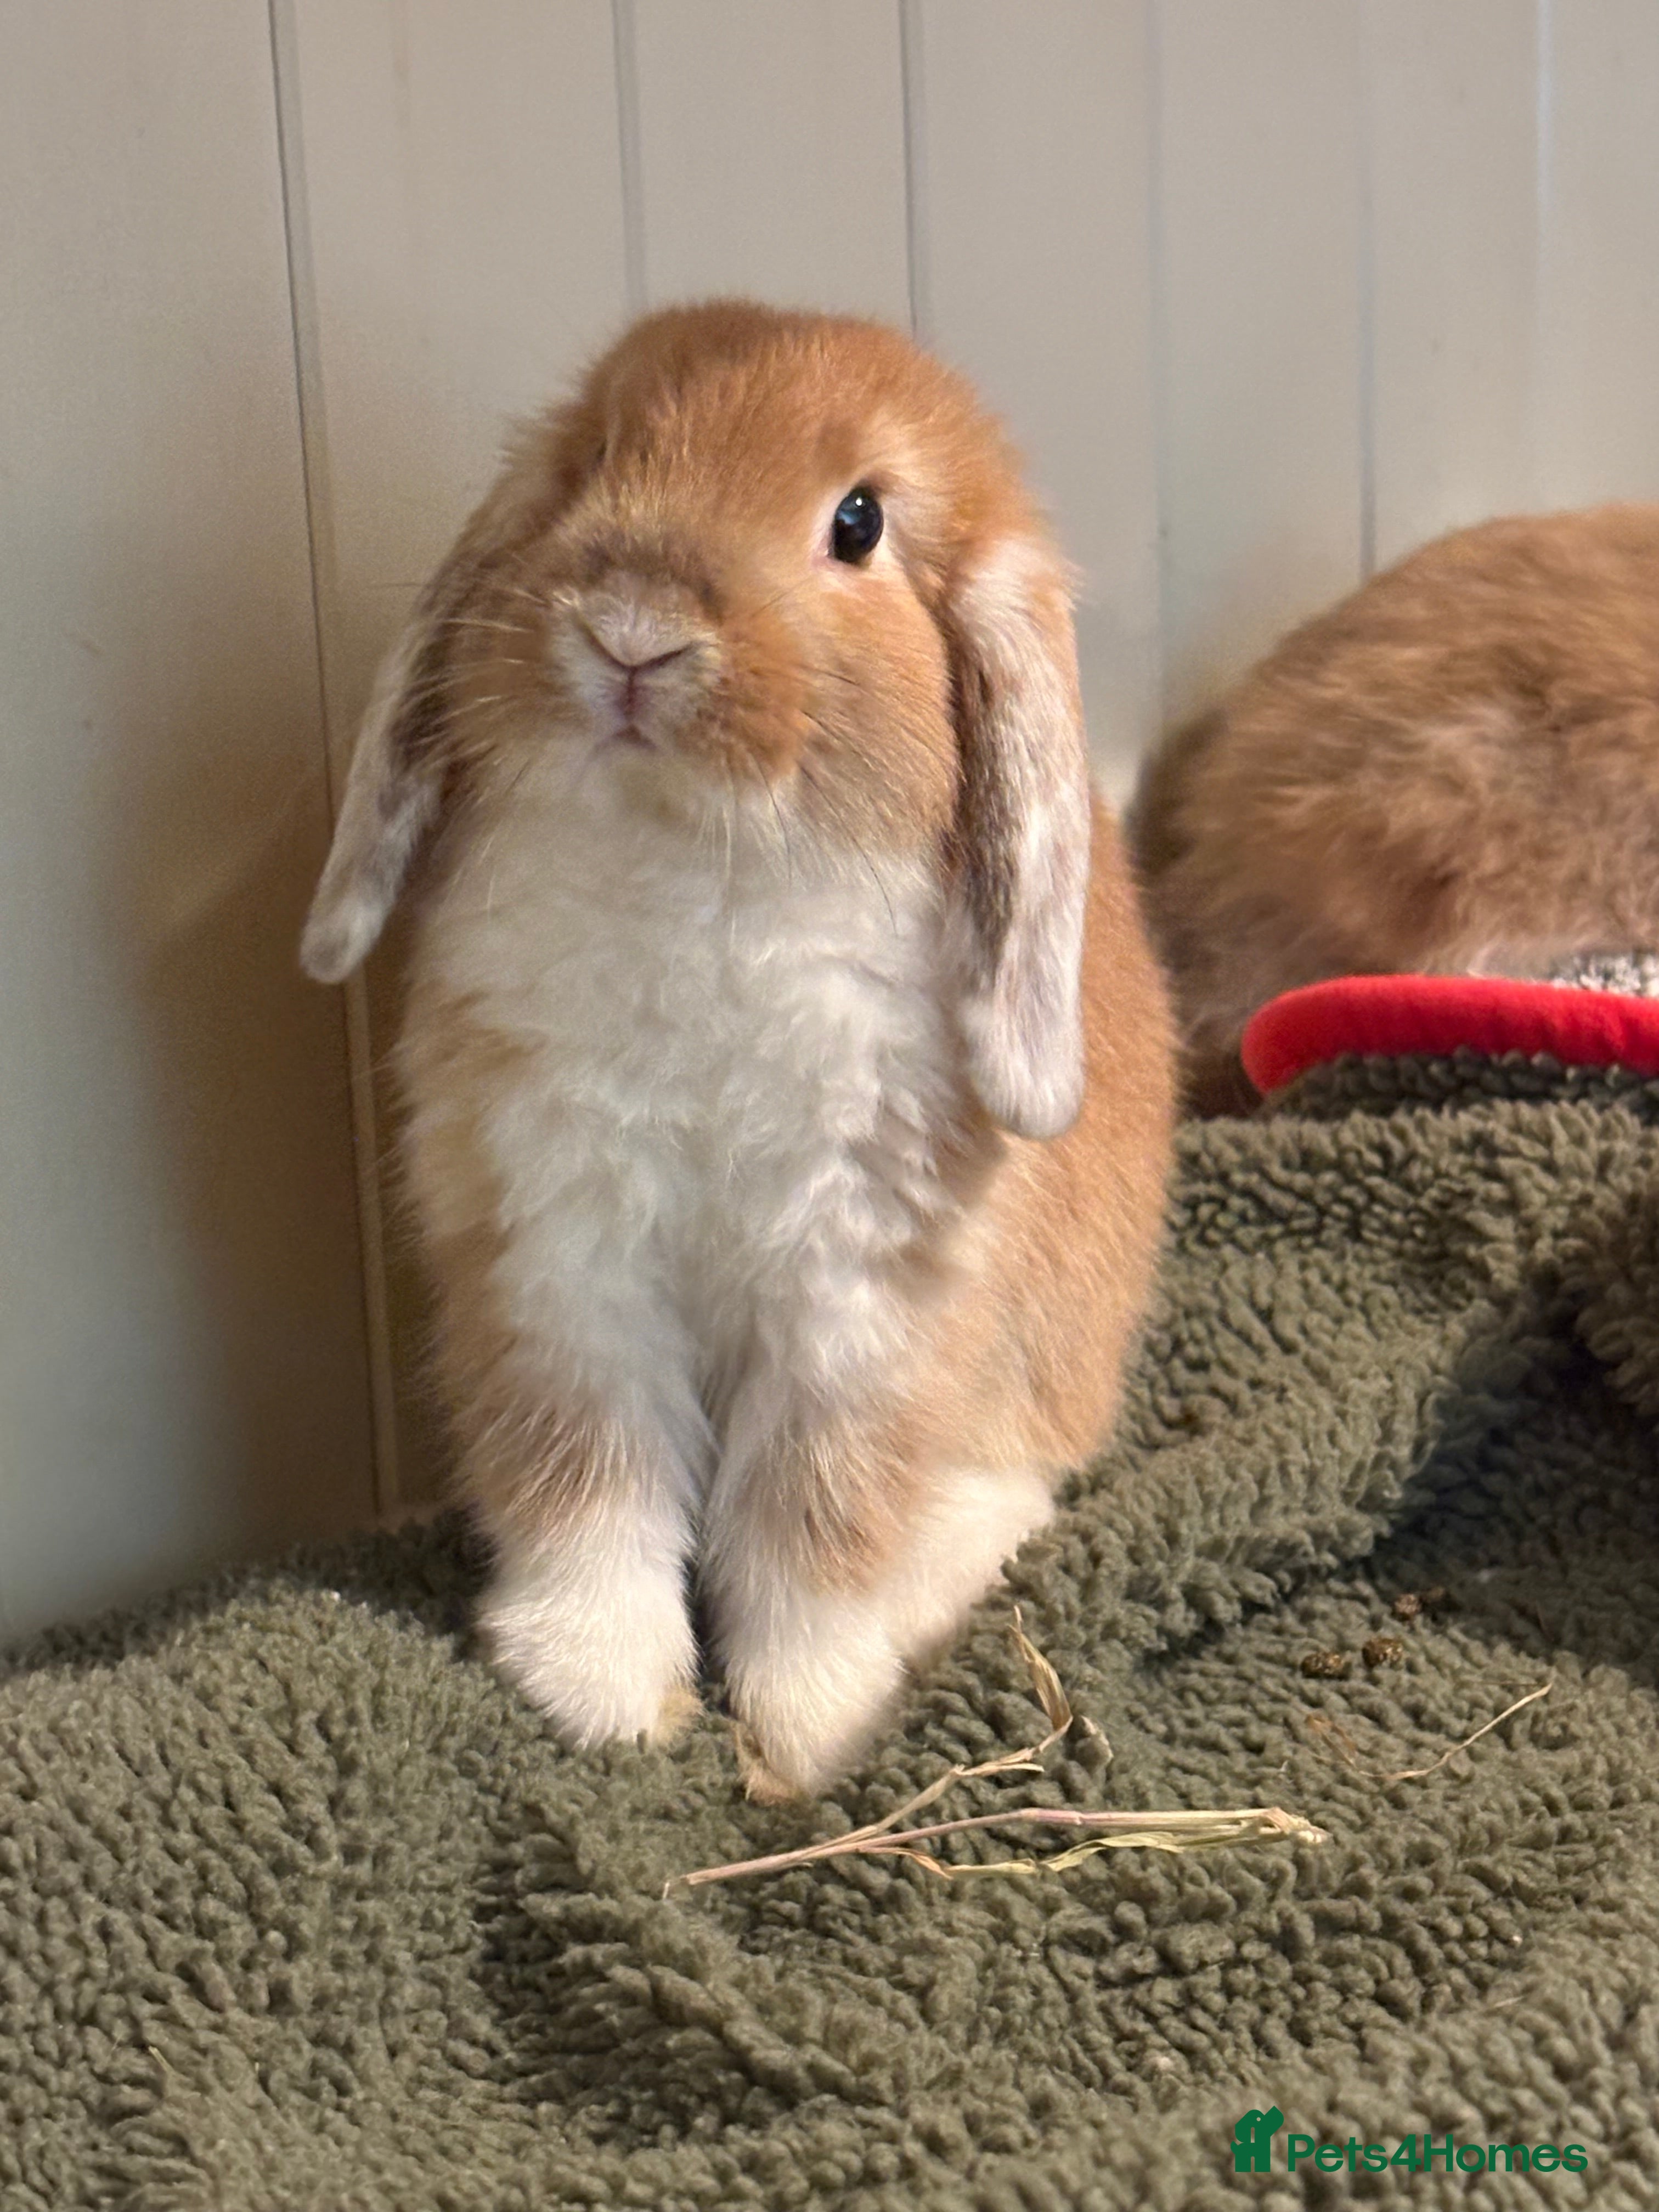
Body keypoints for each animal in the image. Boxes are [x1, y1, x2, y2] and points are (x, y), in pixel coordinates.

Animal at [301, 300, 1173, 1799]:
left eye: (860, 522)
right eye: (596, 461)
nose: (634, 632)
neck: (697, 871)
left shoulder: (863, 1308)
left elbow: (814, 1516)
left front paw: (807, 1732)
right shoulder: (558, 1274)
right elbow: (583, 1478)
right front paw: (603, 1694)